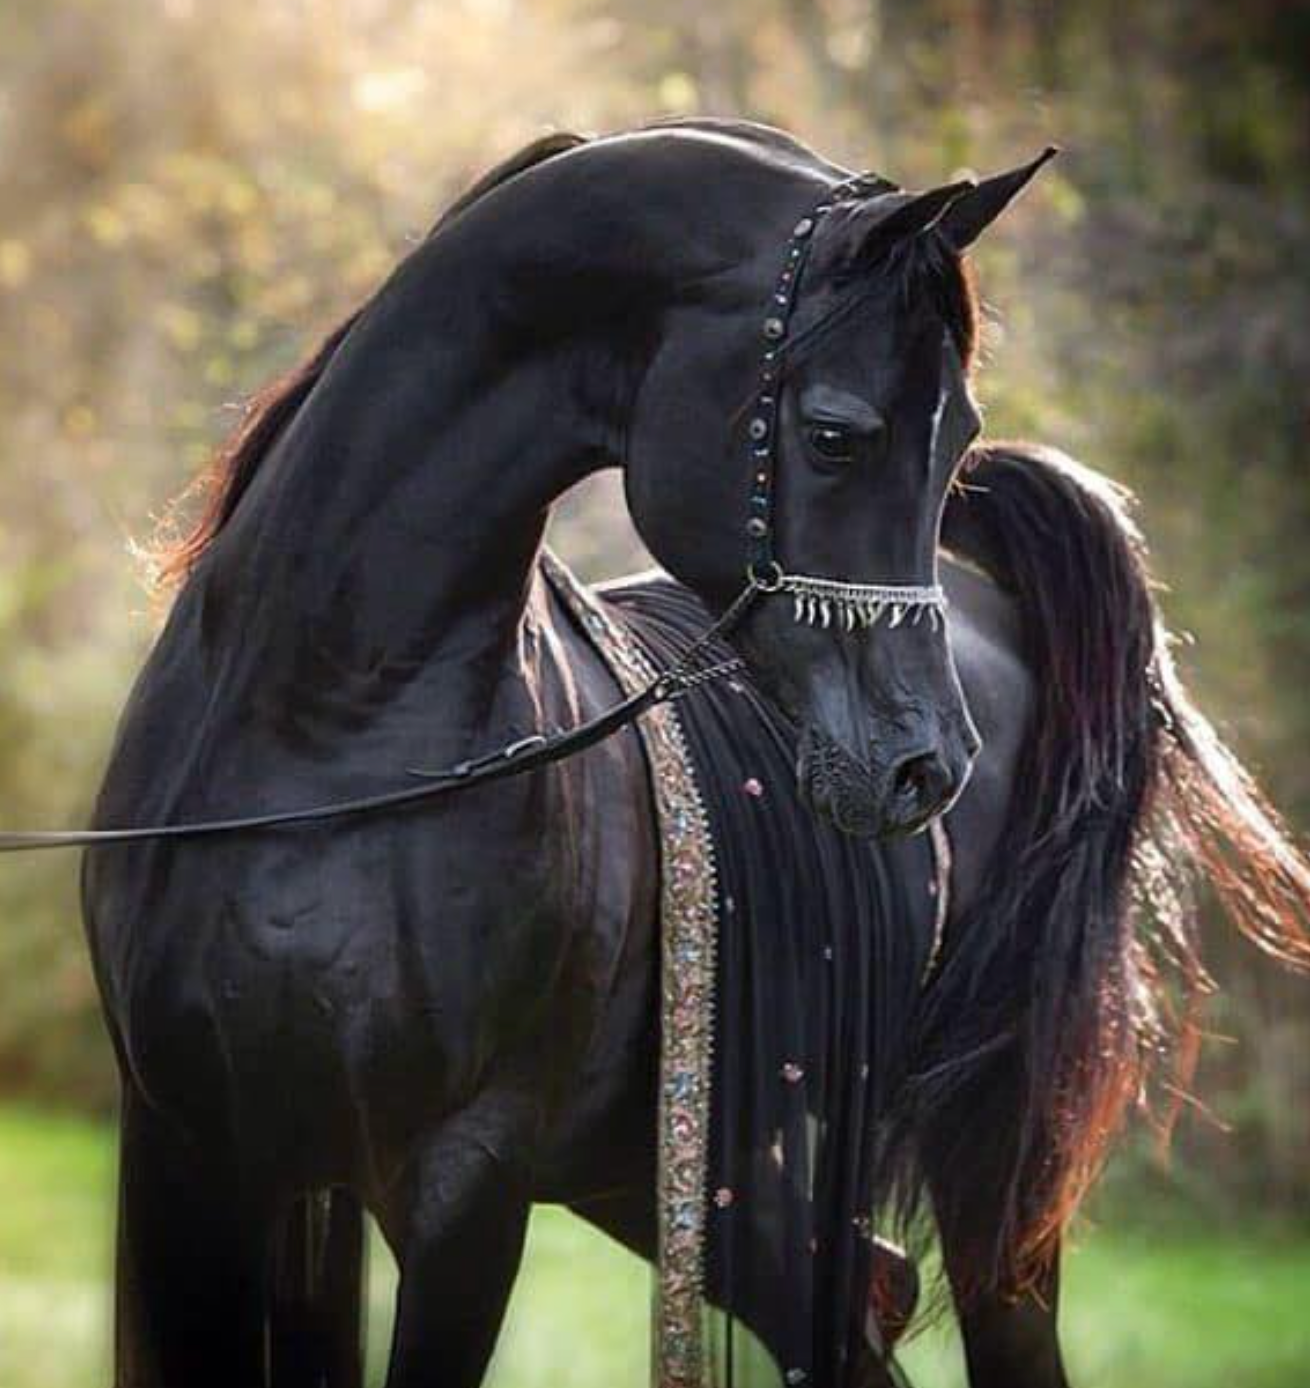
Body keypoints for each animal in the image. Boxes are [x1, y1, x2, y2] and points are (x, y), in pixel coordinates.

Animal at [77, 119, 1310, 1388]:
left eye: (959, 435)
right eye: (834, 434)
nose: (923, 765)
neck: (330, 735)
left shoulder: (465, 1184)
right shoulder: (198, 1157)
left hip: (974, 1170)